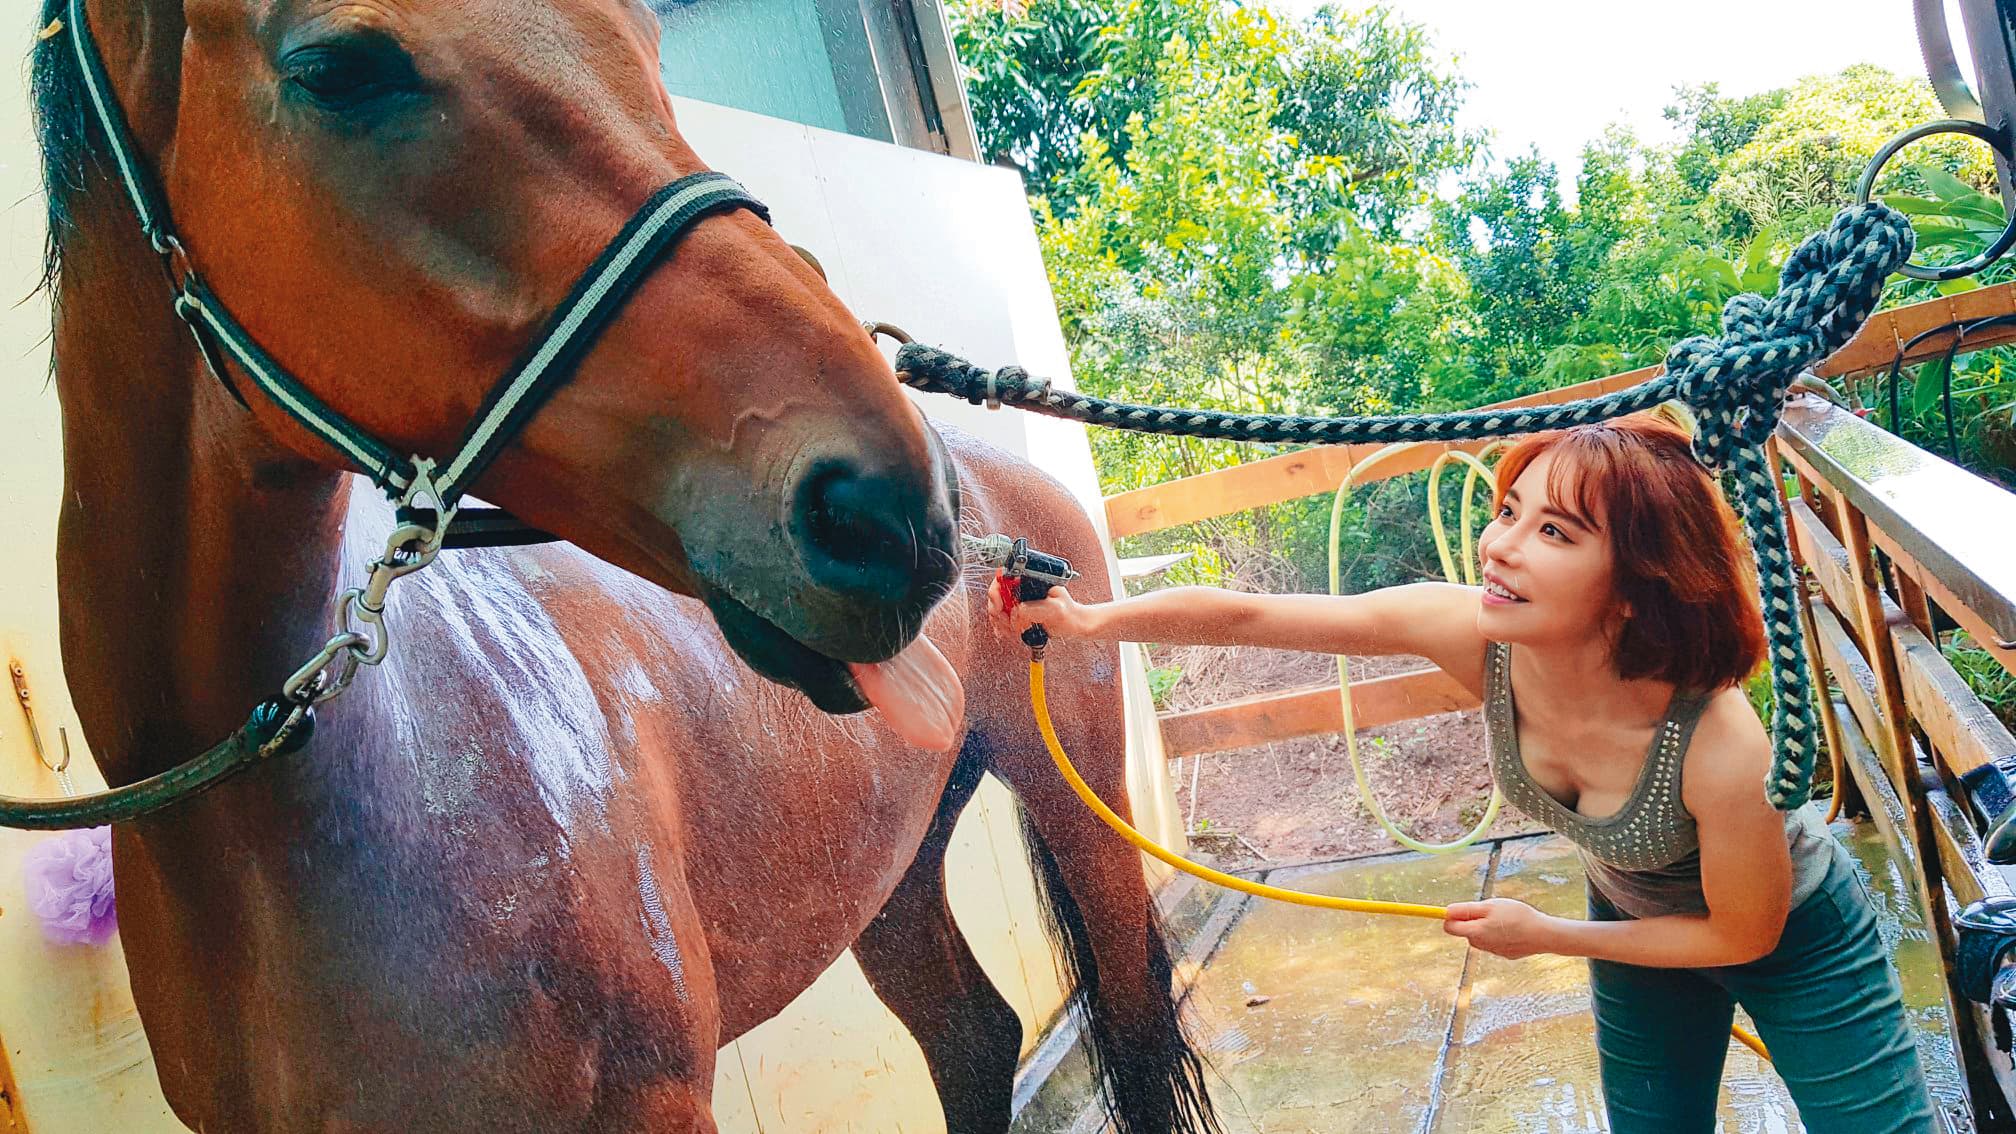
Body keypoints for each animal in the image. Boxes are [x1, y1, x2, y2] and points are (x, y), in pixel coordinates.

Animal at [29, 1, 1219, 1131]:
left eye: (647, 41)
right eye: (338, 70)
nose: (892, 511)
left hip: (1080, 799)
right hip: (891, 870)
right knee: (972, 1036)